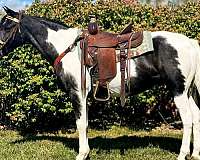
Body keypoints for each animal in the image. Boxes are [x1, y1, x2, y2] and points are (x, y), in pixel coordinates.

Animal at [0, 6, 200, 160]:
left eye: (7, 25)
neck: (68, 48)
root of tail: (190, 43)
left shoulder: (77, 93)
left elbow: (80, 123)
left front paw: (81, 154)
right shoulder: (83, 96)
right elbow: (86, 123)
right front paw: (86, 152)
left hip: (178, 91)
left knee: (187, 120)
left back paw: (182, 155)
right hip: (188, 91)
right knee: (196, 117)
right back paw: (195, 154)